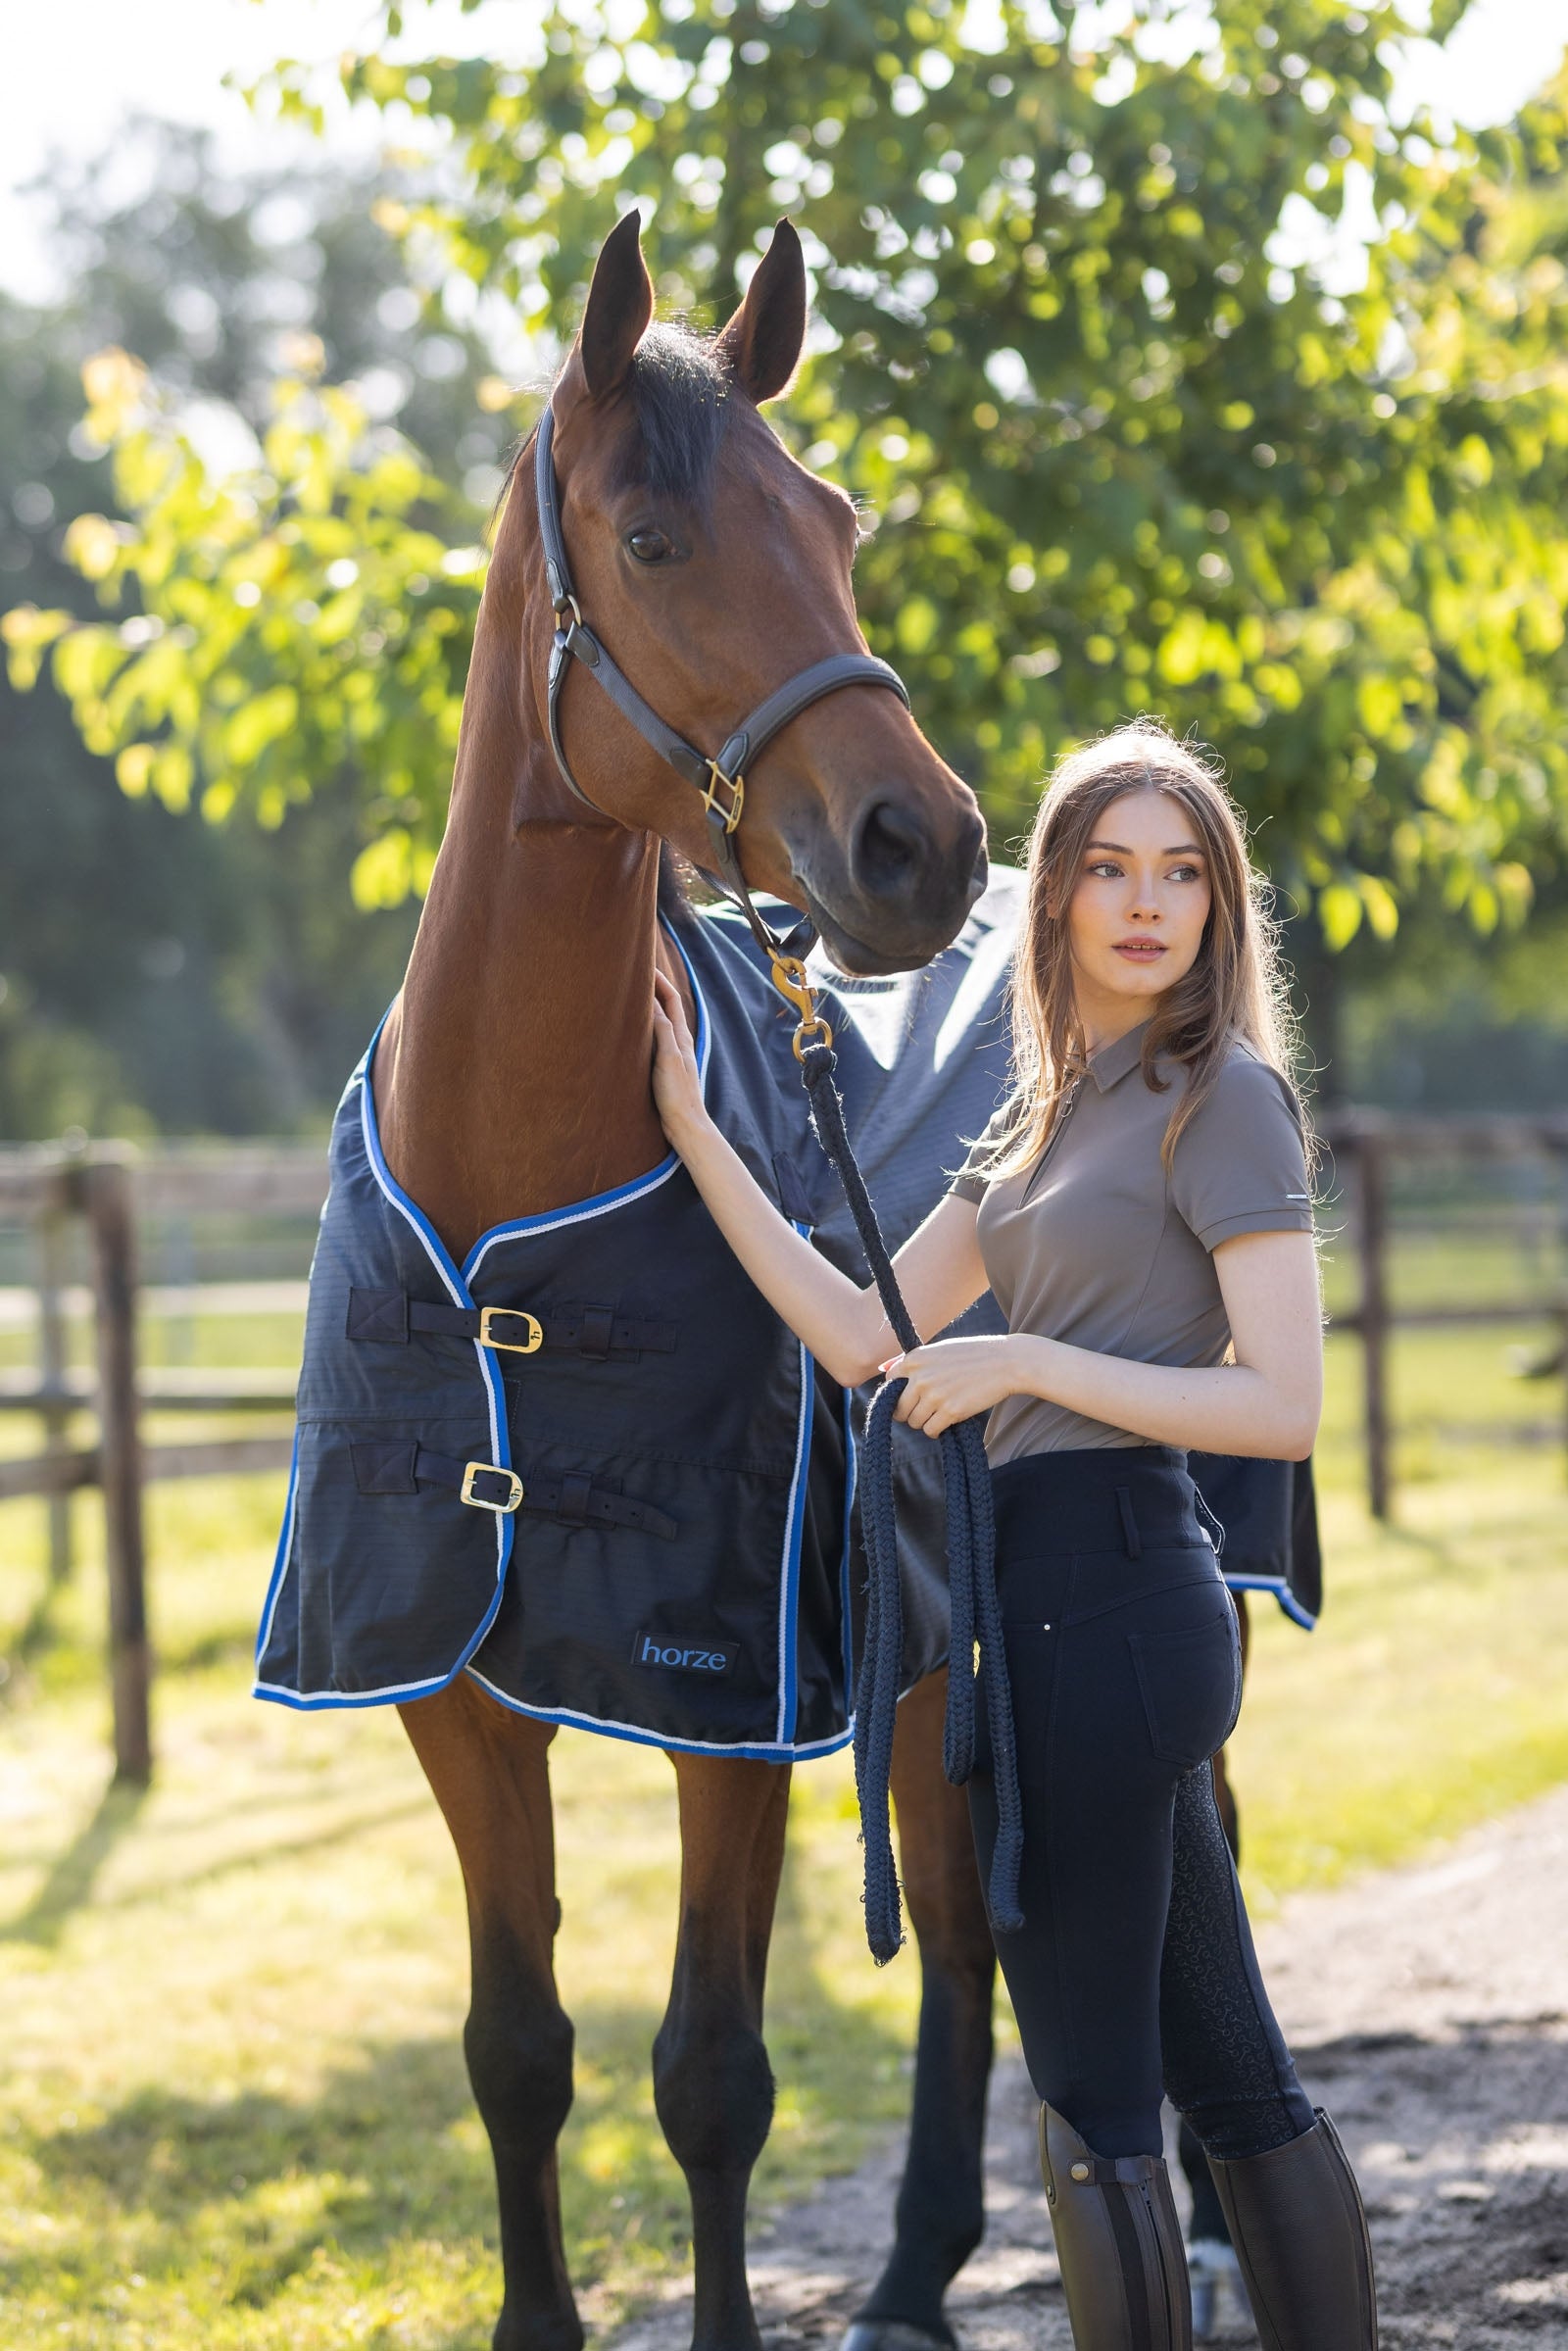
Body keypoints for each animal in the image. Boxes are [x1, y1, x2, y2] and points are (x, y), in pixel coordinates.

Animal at [296, 210, 1001, 2351]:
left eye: (838, 519)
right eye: (656, 535)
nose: (920, 843)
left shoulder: (734, 1710)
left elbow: (710, 2072)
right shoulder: (449, 1687)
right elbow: (518, 2049)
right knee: (966, 1920)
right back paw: (916, 2267)